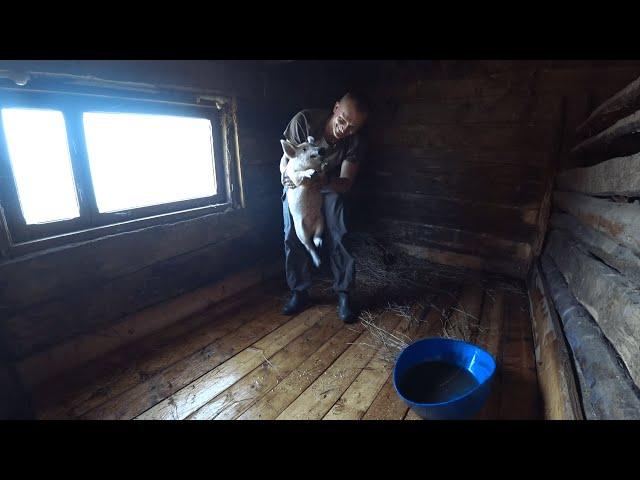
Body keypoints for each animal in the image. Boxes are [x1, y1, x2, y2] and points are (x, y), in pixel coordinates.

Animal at [281, 136, 328, 268]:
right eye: (304, 149)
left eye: (315, 144)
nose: (321, 149)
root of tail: (310, 230)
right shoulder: (293, 176)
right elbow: (299, 176)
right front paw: (311, 172)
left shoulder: (321, 178)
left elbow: (322, 174)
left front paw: (324, 165)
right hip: (300, 230)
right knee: (308, 245)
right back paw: (318, 263)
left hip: (321, 219)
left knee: (317, 236)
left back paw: (319, 244)